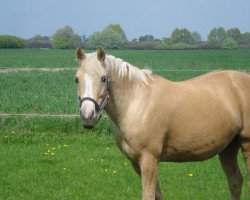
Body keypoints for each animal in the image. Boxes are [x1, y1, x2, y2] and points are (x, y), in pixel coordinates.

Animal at [74, 47, 250, 200]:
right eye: (76, 79)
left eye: (103, 78)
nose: (87, 115)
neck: (136, 103)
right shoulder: (136, 162)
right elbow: (157, 194)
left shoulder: (149, 160)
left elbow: (148, 195)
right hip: (228, 148)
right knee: (235, 181)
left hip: (246, 143)